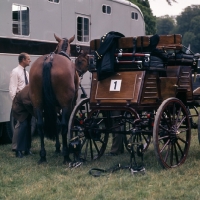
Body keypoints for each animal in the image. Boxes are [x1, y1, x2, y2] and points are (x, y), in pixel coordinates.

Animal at [29, 33, 88, 164]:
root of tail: (49, 60)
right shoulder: (70, 103)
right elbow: (67, 124)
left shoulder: (54, 106)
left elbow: (55, 124)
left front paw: (57, 147)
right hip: (65, 104)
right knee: (64, 126)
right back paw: (66, 155)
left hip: (37, 103)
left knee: (40, 126)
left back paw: (43, 155)